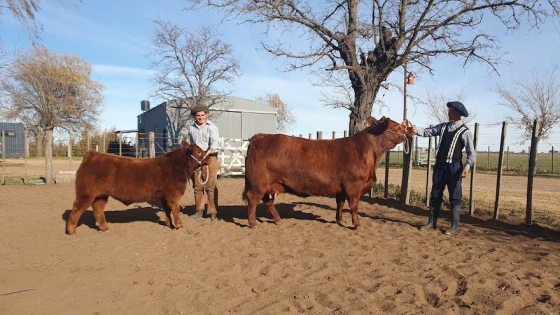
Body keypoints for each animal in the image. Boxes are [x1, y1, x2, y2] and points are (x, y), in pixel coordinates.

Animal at [66, 141, 210, 235]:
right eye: (198, 151)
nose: (209, 158)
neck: (177, 166)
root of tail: (90, 154)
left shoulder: (164, 196)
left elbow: (167, 210)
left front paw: (169, 224)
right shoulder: (173, 194)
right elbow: (175, 209)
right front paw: (179, 225)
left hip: (101, 195)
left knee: (98, 210)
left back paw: (105, 229)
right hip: (86, 194)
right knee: (76, 209)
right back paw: (71, 231)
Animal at [242, 116, 416, 230]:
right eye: (395, 124)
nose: (411, 129)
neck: (370, 152)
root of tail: (259, 136)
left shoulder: (342, 188)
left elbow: (340, 204)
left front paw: (340, 220)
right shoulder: (354, 185)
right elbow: (354, 205)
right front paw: (357, 224)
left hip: (267, 184)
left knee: (267, 201)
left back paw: (278, 220)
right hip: (259, 183)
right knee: (253, 199)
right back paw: (253, 224)